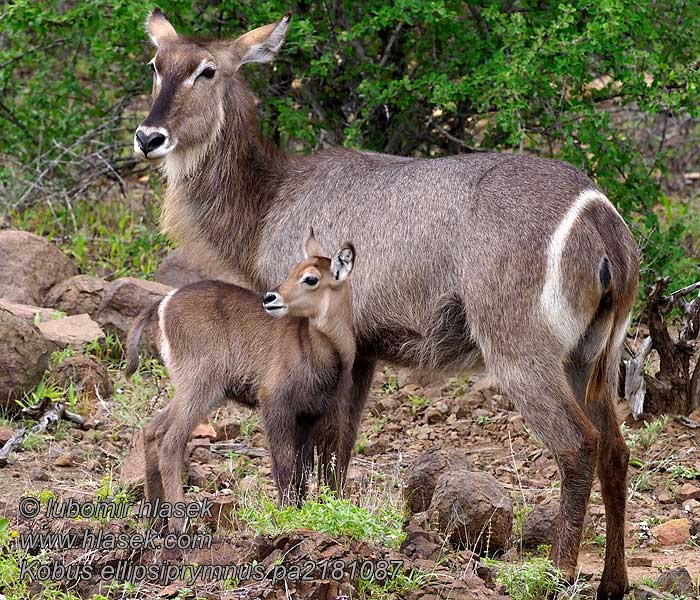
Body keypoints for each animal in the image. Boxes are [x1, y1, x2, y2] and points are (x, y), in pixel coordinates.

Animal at [126, 230, 356, 528]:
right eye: (292, 270)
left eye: (311, 278)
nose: (270, 298)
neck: (327, 352)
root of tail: (165, 303)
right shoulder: (274, 402)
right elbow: (284, 463)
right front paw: (286, 513)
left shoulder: (314, 414)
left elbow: (307, 468)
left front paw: (303, 510)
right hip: (200, 385)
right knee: (170, 441)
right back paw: (178, 523)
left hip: (193, 389)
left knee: (152, 430)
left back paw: (156, 521)